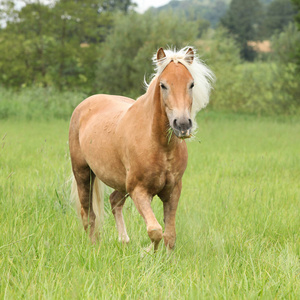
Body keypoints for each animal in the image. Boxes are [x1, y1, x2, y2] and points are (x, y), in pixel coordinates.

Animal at [69, 45, 214, 250]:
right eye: (163, 85)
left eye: (191, 84)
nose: (182, 124)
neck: (160, 145)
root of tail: (84, 104)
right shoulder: (139, 191)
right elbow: (155, 231)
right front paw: (147, 252)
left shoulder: (172, 191)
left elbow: (169, 235)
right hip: (83, 173)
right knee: (88, 215)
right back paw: (94, 246)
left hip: (121, 182)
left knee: (114, 201)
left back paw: (124, 241)